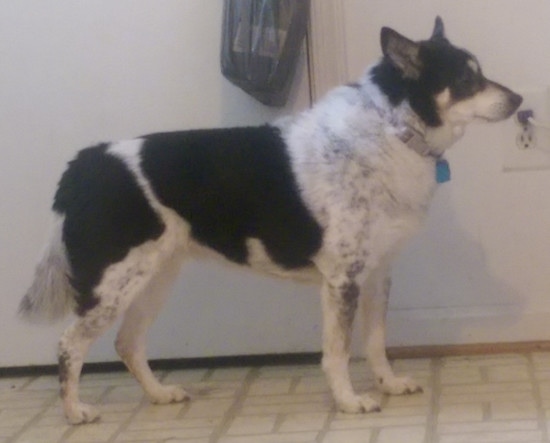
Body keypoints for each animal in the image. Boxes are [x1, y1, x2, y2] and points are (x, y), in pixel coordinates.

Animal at [19, 18, 524, 426]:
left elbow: (377, 343)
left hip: (153, 279)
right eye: (466, 79)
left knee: (127, 343)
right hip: (112, 286)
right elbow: (338, 353)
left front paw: (389, 384)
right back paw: (75, 412)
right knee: (69, 346)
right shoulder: (343, 282)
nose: (519, 99)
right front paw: (349, 402)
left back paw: (160, 394)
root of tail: (85, 162)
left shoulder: (378, 275)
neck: (392, 127)